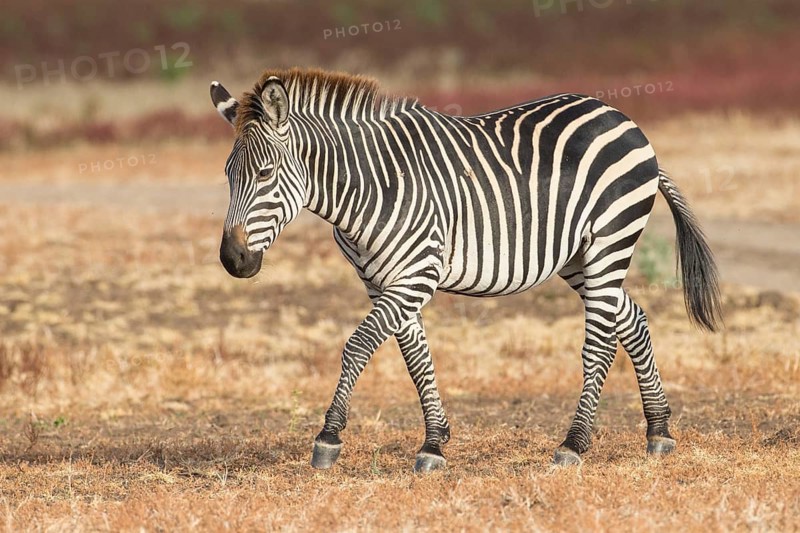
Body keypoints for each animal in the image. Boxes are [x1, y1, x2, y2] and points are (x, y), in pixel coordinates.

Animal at [209, 68, 722, 472]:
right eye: (228, 176)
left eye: (265, 174)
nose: (233, 261)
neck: (368, 188)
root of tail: (621, 116)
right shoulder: (383, 282)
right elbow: (416, 360)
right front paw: (434, 443)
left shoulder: (417, 273)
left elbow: (357, 346)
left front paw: (328, 439)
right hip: (578, 258)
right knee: (630, 319)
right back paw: (659, 431)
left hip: (608, 242)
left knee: (598, 342)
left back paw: (573, 445)